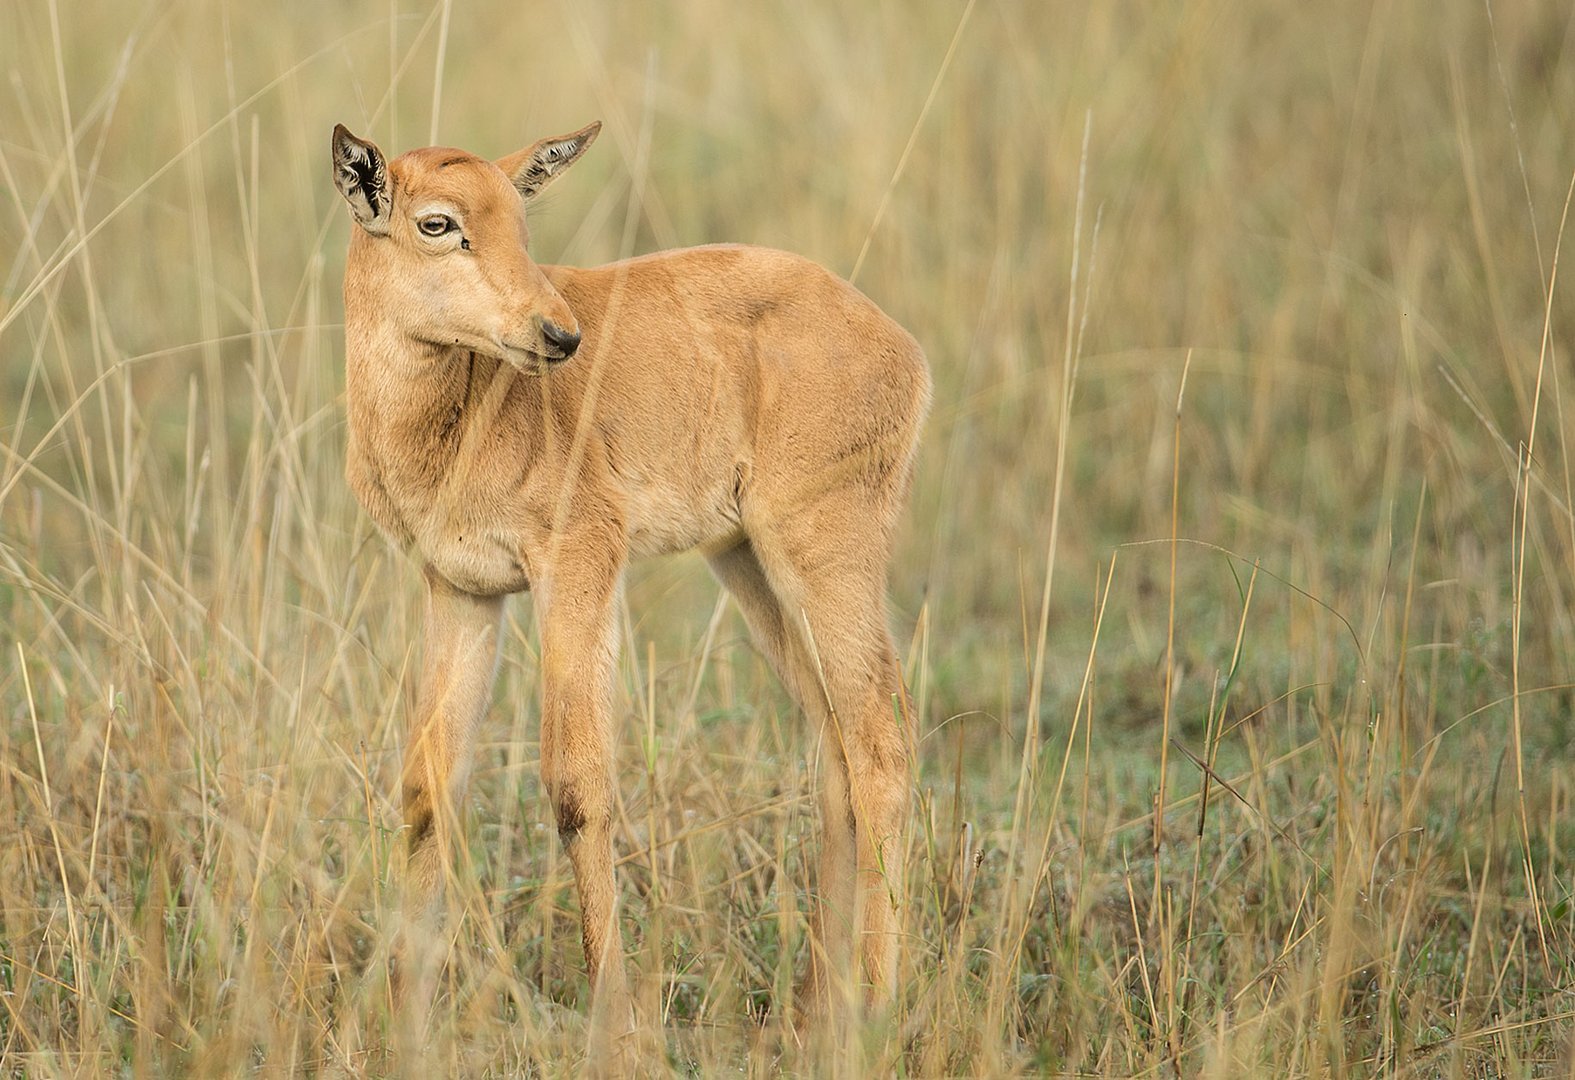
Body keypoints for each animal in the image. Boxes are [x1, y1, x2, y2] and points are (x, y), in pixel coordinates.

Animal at [329, 120, 919, 1057]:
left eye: (520, 217)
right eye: (438, 222)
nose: (559, 336)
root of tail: (899, 344)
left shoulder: (578, 565)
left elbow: (577, 788)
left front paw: (613, 1026)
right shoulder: (460, 591)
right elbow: (427, 789)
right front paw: (402, 1029)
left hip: (824, 550)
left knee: (881, 741)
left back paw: (873, 1015)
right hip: (745, 561)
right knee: (832, 744)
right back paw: (815, 1016)